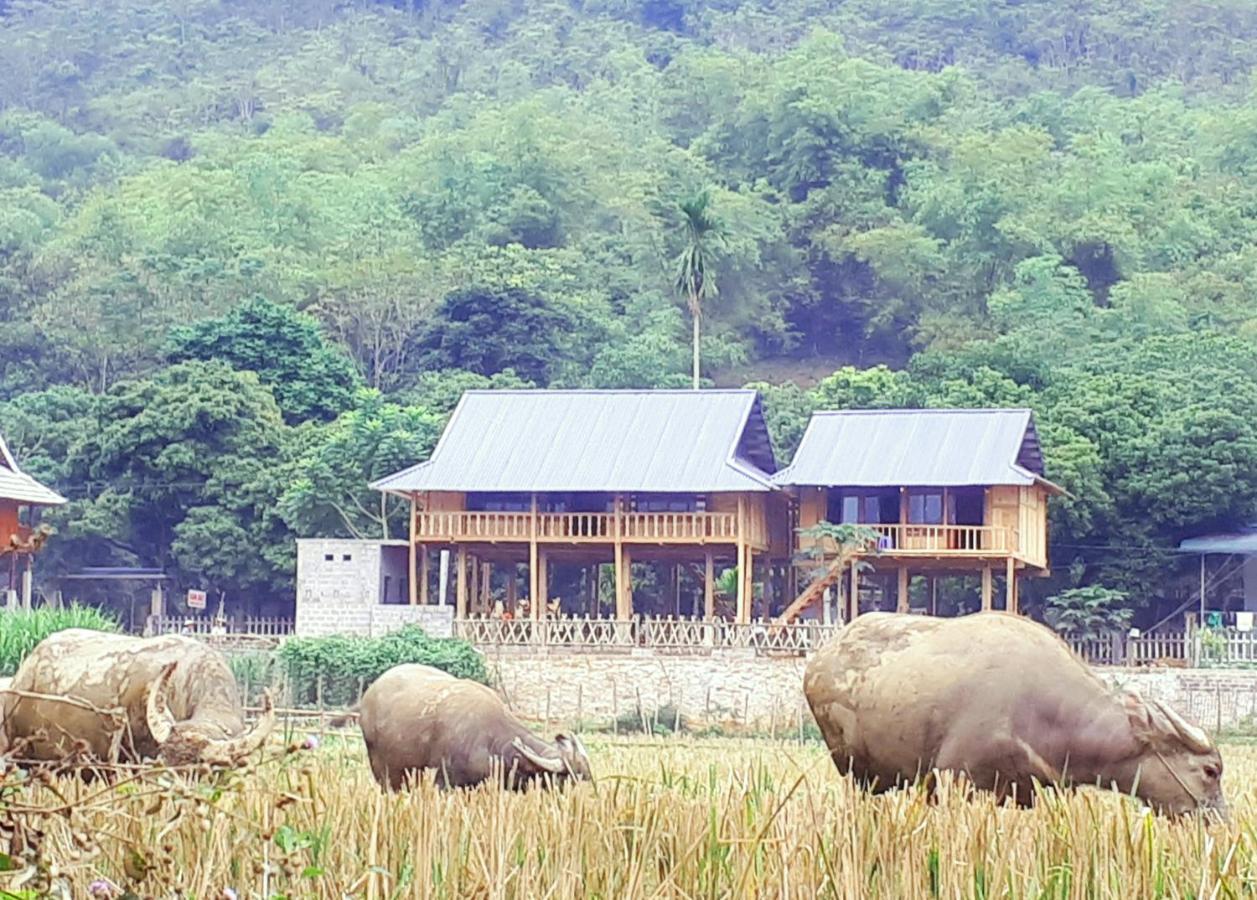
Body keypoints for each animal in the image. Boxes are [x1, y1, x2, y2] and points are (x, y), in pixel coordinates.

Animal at [804, 610, 1226, 814]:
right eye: (1210, 771)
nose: (1219, 822)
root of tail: (821, 660)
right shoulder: (955, 778)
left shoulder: (1034, 791)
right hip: (854, 770)